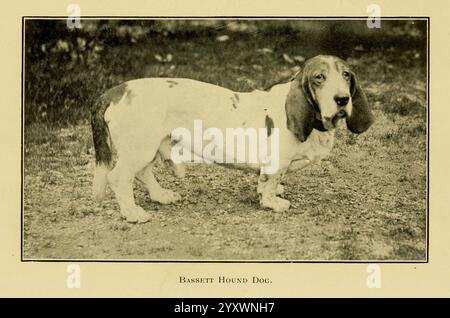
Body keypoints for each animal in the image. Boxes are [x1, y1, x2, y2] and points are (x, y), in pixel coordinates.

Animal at [90, 55, 372, 224]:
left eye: (346, 75)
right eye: (318, 78)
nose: (342, 99)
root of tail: (115, 91)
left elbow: (271, 182)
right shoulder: (276, 163)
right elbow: (269, 184)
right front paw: (273, 202)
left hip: (147, 148)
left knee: (142, 173)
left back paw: (161, 196)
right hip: (140, 147)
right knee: (119, 178)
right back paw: (132, 213)